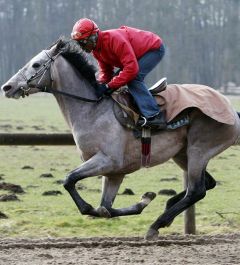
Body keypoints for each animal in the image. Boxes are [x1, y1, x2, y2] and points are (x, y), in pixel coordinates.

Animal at [1, 38, 240, 238]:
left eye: (36, 64)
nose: (7, 87)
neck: (93, 109)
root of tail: (232, 110)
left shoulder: (108, 160)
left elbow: (71, 182)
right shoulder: (115, 172)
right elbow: (105, 208)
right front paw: (144, 200)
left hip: (199, 149)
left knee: (196, 189)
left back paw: (157, 224)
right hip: (183, 154)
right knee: (206, 184)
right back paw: (168, 207)